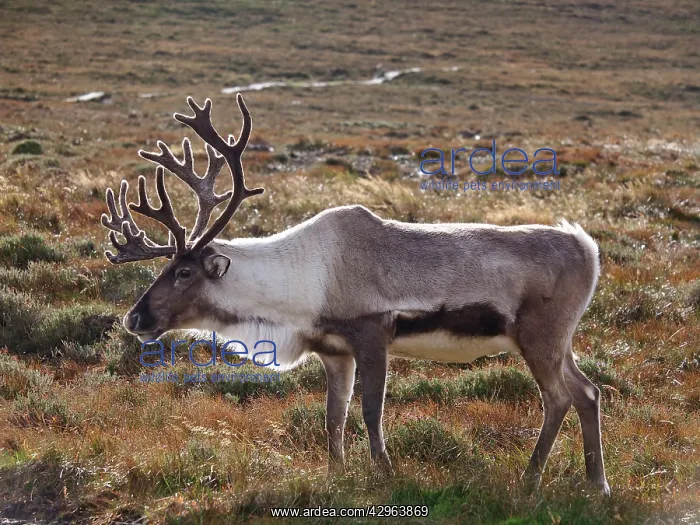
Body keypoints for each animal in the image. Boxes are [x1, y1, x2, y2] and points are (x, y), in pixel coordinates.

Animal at [101, 94, 610, 495]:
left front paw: (384, 472)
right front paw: (337, 473)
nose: (134, 318)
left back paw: (531, 479)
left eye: (184, 271)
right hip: (559, 342)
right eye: (165, 267)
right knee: (588, 391)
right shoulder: (334, 352)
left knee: (559, 398)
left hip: (540, 337)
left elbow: (370, 412)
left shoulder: (372, 337)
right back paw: (596, 483)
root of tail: (588, 248)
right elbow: (334, 416)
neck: (299, 287)